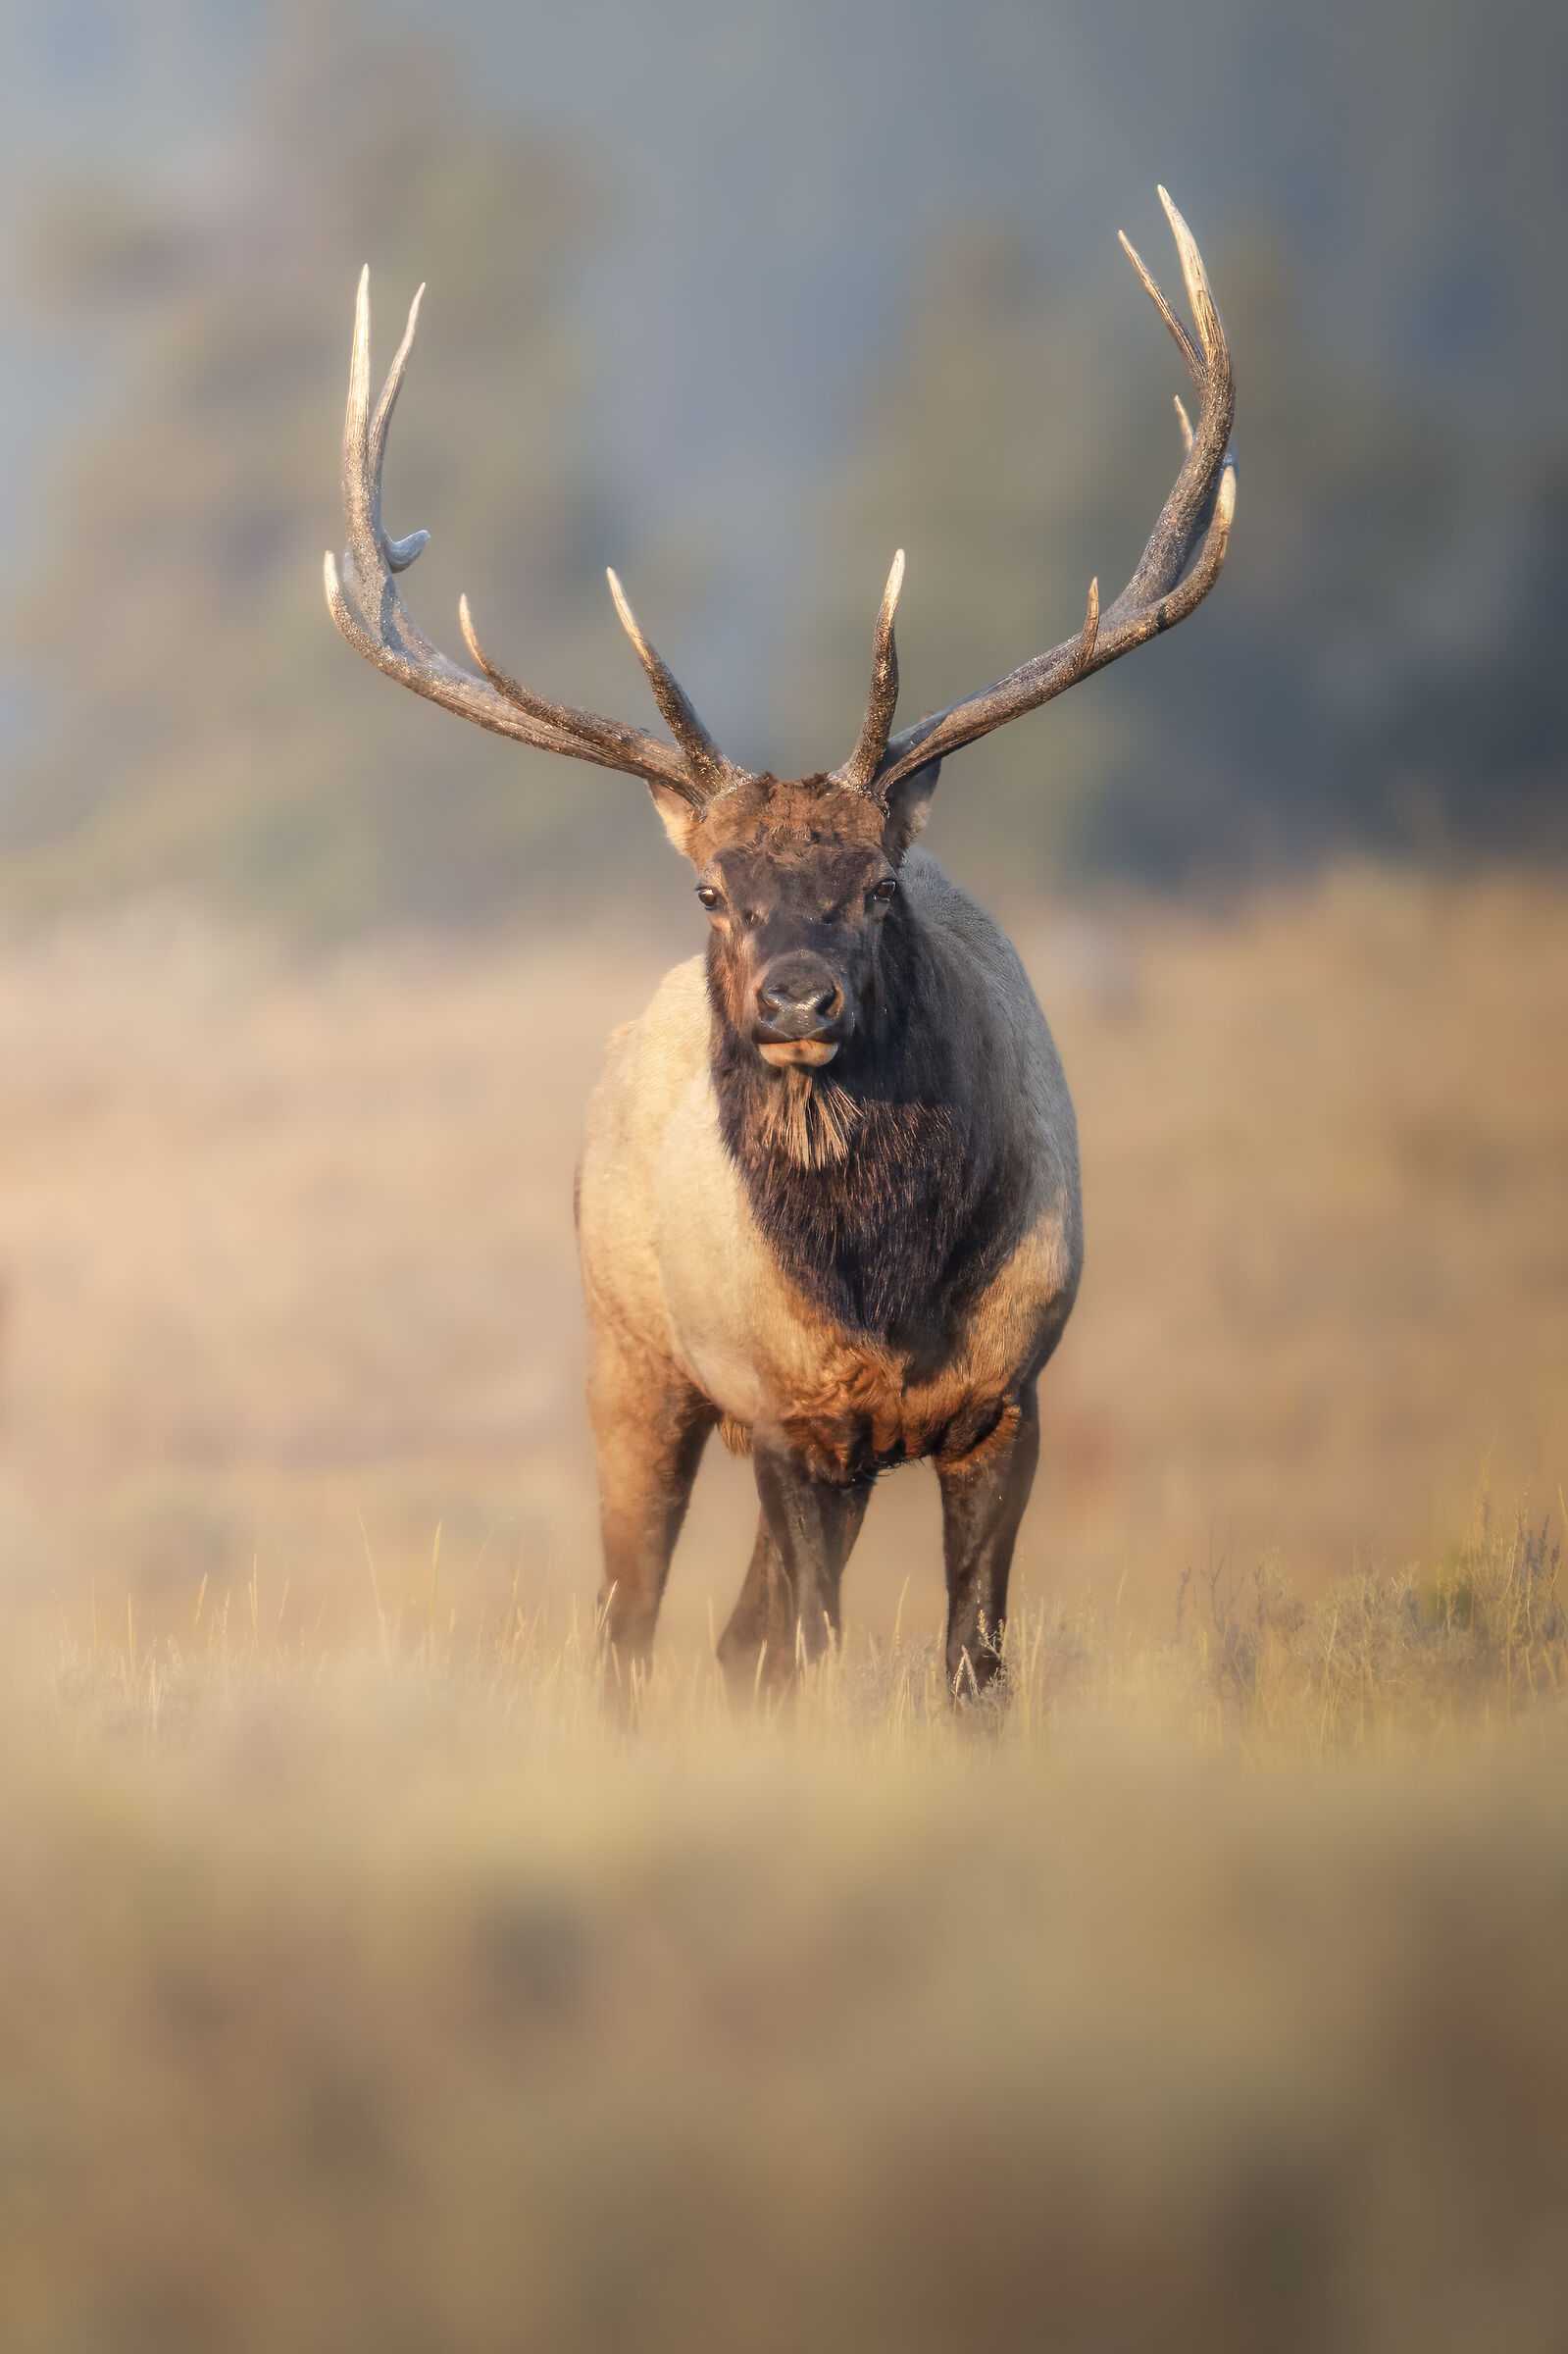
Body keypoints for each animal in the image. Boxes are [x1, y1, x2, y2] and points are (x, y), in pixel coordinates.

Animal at [324, 188, 1235, 1700]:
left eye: (880, 882)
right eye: (712, 890)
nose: (796, 1000)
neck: (887, 1292)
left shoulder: (1008, 1397)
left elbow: (969, 1668)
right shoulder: (785, 1412)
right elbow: (803, 1651)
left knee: (729, 1638)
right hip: (634, 1359)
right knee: (633, 1621)